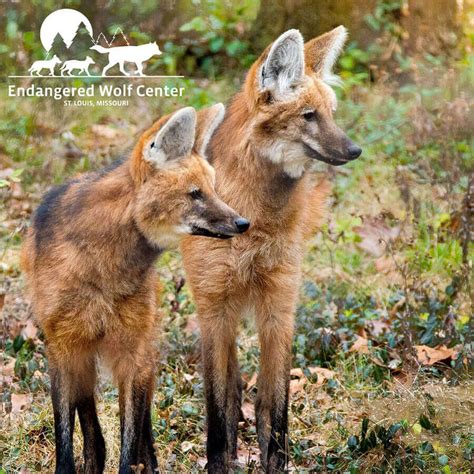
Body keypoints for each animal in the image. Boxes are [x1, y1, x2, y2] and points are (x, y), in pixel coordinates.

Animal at [180, 26, 362, 474]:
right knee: (229, 394)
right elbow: (219, 410)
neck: (256, 222)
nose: (354, 150)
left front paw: (274, 462)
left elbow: (274, 407)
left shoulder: (279, 306)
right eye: (308, 115)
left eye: (331, 112)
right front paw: (220, 462)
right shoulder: (214, 309)